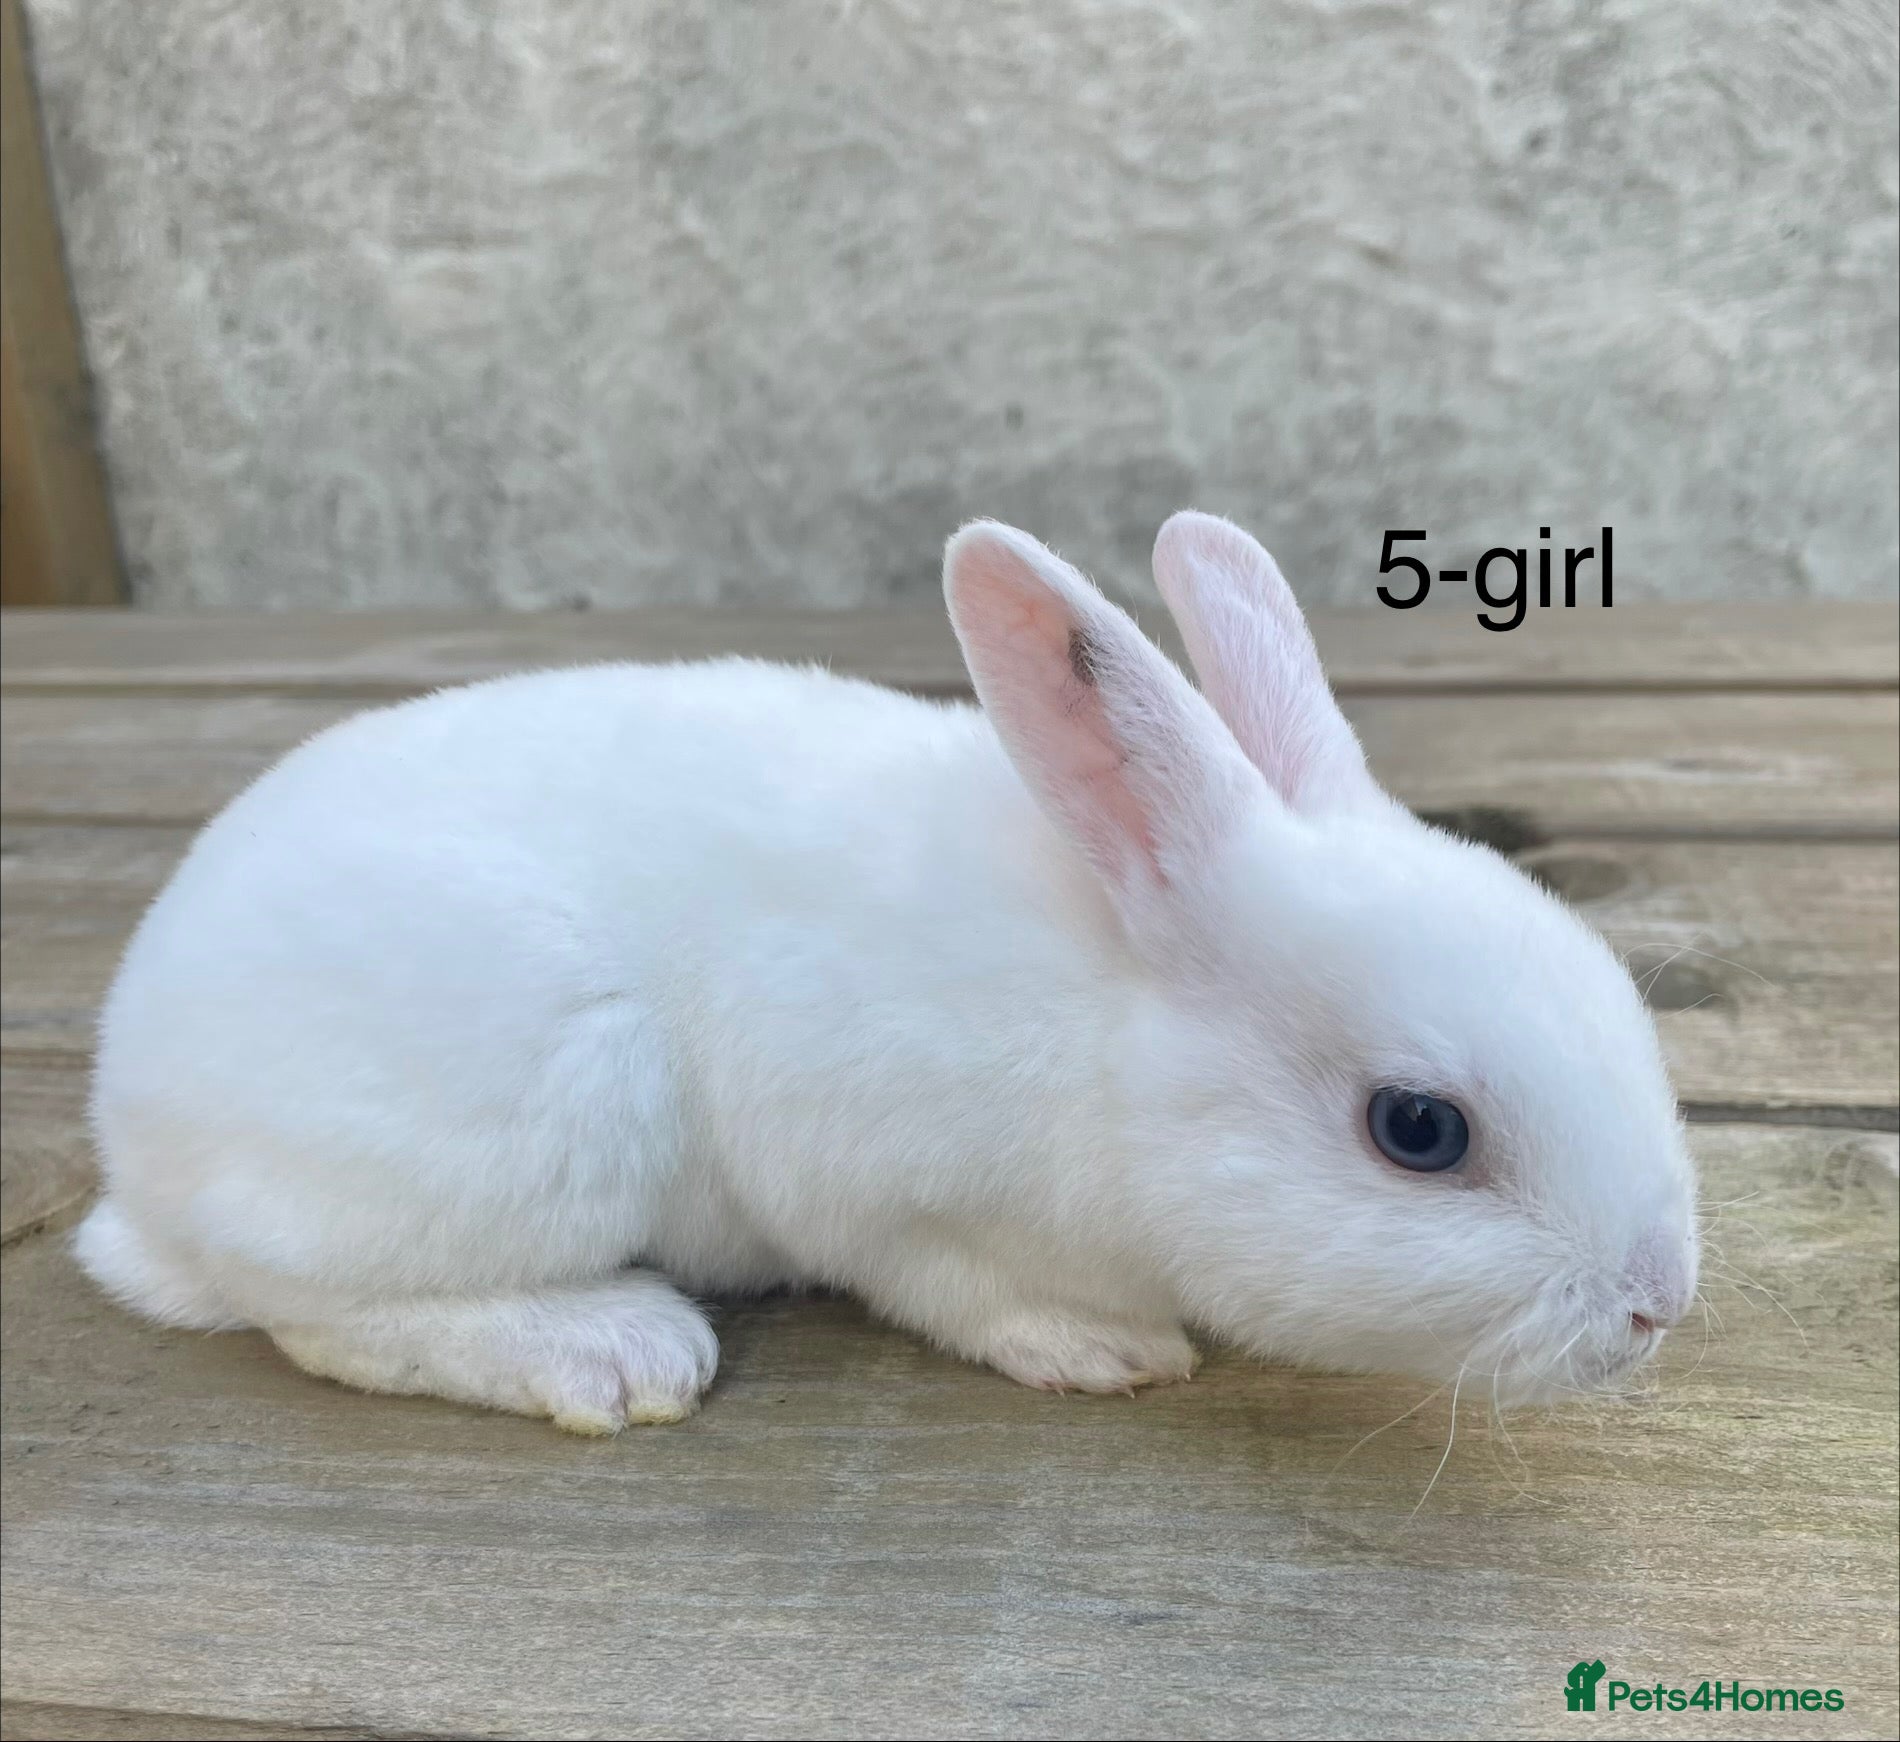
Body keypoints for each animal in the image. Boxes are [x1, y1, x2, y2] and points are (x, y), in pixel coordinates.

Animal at [75, 512, 1698, 1433]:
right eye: (1417, 1130)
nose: (1657, 1304)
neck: (1113, 1029)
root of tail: (127, 1121)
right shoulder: (885, 1183)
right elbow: (953, 1284)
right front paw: (1102, 1350)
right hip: (532, 1108)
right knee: (308, 1306)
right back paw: (615, 1354)